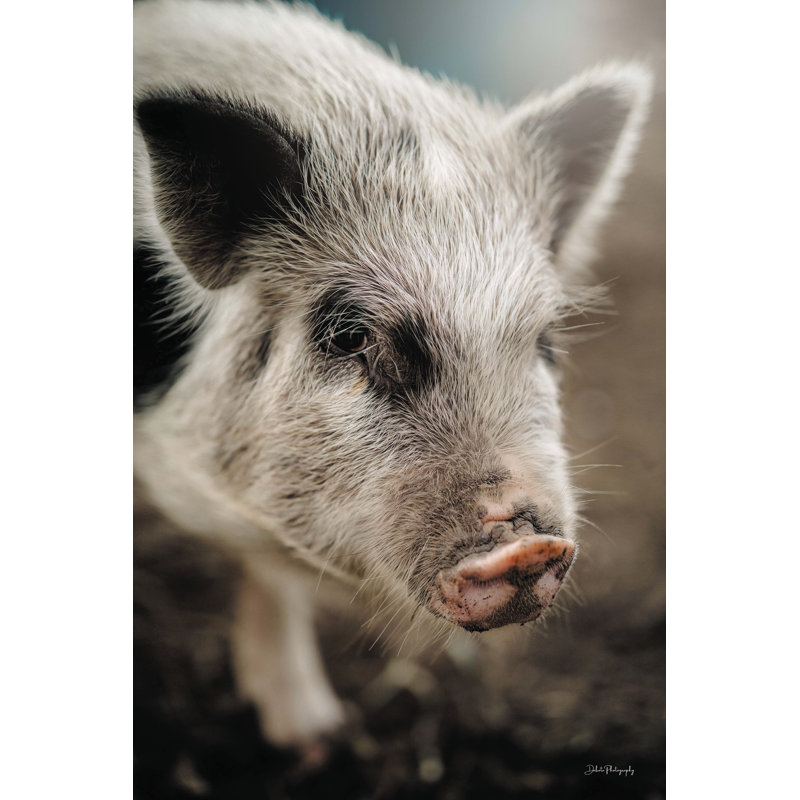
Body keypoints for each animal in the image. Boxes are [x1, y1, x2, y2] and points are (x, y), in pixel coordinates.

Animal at [133, 0, 651, 749]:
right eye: (351, 336)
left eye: (544, 340)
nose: (527, 546)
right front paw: (317, 742)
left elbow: (273, 577)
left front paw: (315, 738)